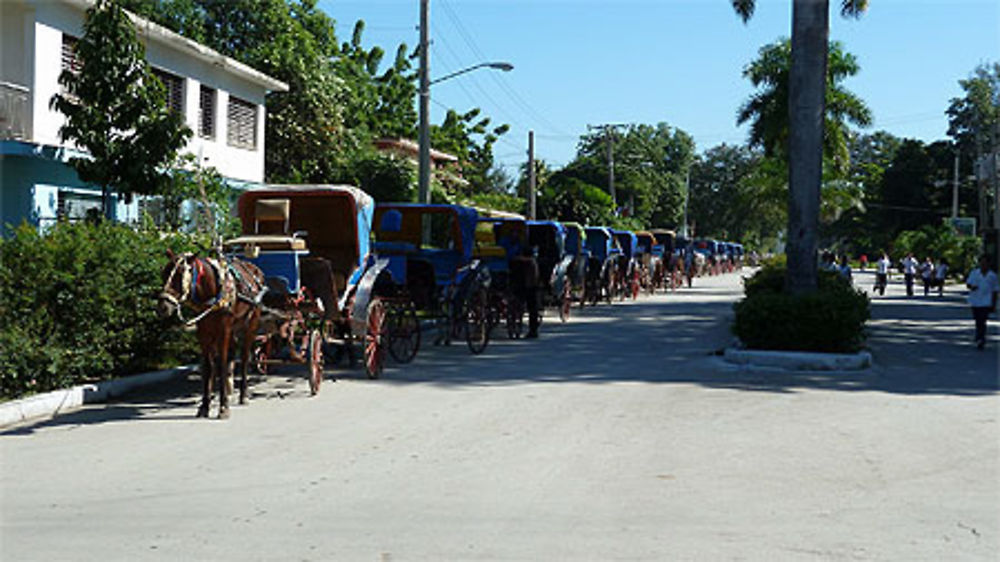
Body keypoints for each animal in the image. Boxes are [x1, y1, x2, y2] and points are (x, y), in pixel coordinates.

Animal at [158, 249, 264, 416]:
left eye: (180, 276)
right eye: (164, 274)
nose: (163, 307)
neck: (214, 293)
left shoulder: (224, 329)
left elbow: (221, 364)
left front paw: (223, 406)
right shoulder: (203, 331)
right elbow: (208, 366)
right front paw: (205, 405)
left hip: (250, 325)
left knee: (245, 357)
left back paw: (243, 394)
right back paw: (229, 389)